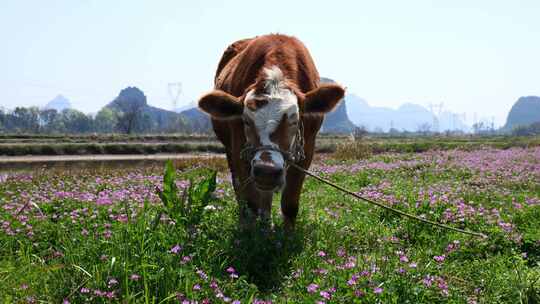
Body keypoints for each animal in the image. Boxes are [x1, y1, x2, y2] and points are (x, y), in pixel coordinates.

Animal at [199, 34, 346, 229]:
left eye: (294, 120)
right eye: (246, 121)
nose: (266, 172)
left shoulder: (306, 150)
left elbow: (290, 204)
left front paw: (287, 235)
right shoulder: (239, 149)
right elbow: (250, 202)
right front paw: (249, 233)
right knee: (241, 191)